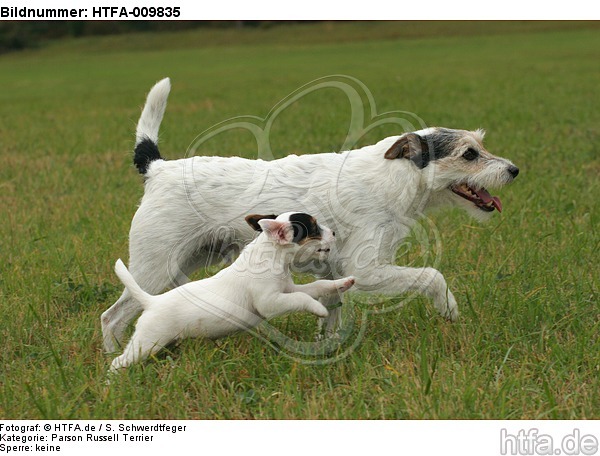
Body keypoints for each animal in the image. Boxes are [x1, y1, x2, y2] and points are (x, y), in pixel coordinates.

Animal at [109, 212, 356, 372]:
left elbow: (316, 287)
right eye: (313, 228)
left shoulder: (288, 288)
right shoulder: (269, 302)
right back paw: (112, 382)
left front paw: (344, 282)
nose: (334, 232)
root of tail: (152, 302)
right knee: (118, 362)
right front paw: (319, 309)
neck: (272, 255)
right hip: (147, 342)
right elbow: (302, 298)